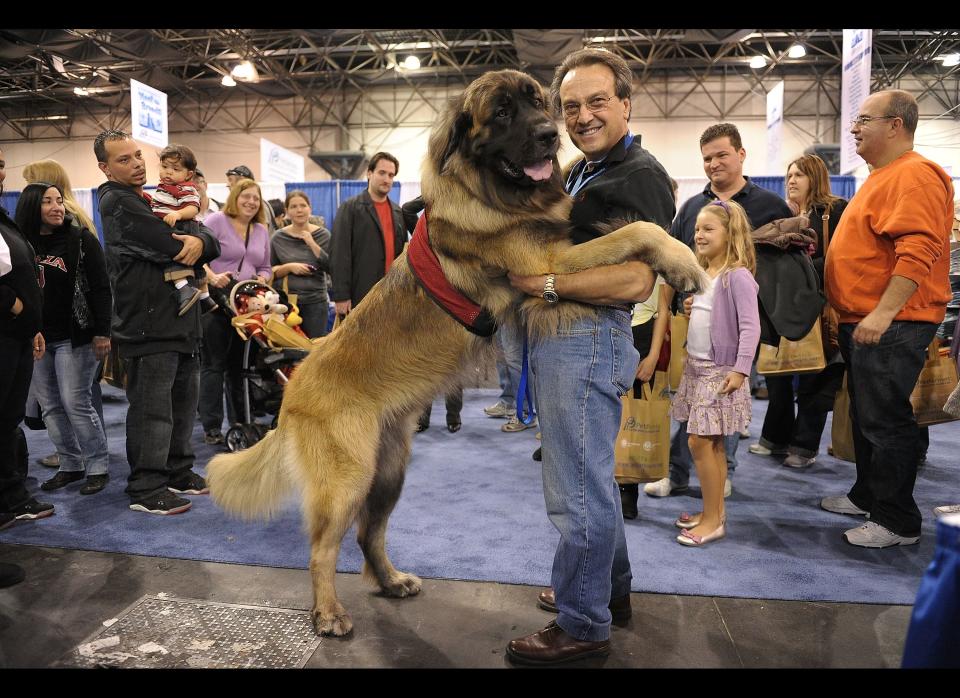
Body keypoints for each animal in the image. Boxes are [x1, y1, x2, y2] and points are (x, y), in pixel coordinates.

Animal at [208, 68, 704, 632]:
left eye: (539, 104)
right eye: (503, 113)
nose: (550, 136)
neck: (495, 193)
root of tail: (295, 386)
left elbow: (623, 225)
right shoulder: (548, 261)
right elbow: (638, 229)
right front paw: (683, 261)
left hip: (389, 471)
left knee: (368, 533)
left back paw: (391, 581)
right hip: (347, 479)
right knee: (322, 549)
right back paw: (329, 612)